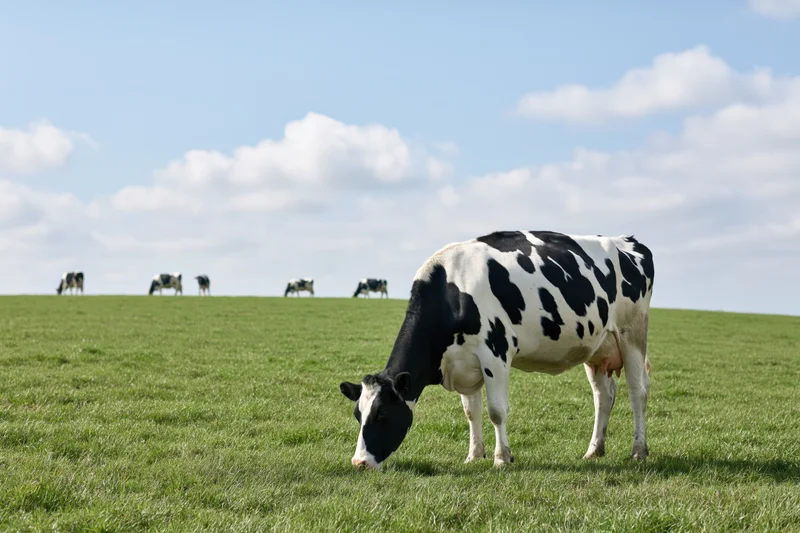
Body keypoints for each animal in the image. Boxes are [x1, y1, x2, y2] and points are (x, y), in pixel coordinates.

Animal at [339, 231, 654, 470]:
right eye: (357, 414)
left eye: (382, 414)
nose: (359, 462)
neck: (453, 290)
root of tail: (628, 240)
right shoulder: (462, 362)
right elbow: (471, 412)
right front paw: (473, 455)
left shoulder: (496, 353)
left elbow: (496, 411)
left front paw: (502, 458)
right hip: (598, 348)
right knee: (603, 397)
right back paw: (593, 450)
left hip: (632, 334)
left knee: (637, 392)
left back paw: (638, 450)